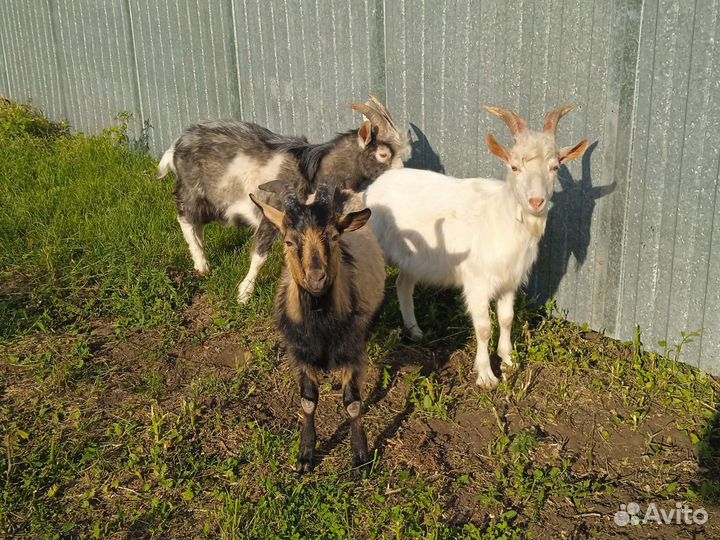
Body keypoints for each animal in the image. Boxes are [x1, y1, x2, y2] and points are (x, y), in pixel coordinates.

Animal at [157, 96, 409, 303]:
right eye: (383, 154)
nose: (401, 176)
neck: (313, 175)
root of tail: (178, 142)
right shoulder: (271, 213)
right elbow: (259, 255)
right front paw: (244, 294)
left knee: (197, 225)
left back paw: (201, 258)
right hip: (192, 191)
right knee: (185, 219)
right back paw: (201, 265)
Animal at [249, 184, 385, 472]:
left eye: (334, 237)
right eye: (288, 241)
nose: (316, 278)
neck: (320, 324)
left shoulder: (351, 350)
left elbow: (353, 404)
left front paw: (361, 455)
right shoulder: (299, 353)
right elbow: (308, 401)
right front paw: (305, 455)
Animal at [364, 105, 588, 389]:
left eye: (555, 167)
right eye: (514, 167)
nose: (536, 202)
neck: (503, 216)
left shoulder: (509, 281)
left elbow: (507, 319)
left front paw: (509, 362)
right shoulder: (477, 283)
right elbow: (484, 328)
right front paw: (485, 375)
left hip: (414, 259)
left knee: (403, 285)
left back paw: (415, 331)